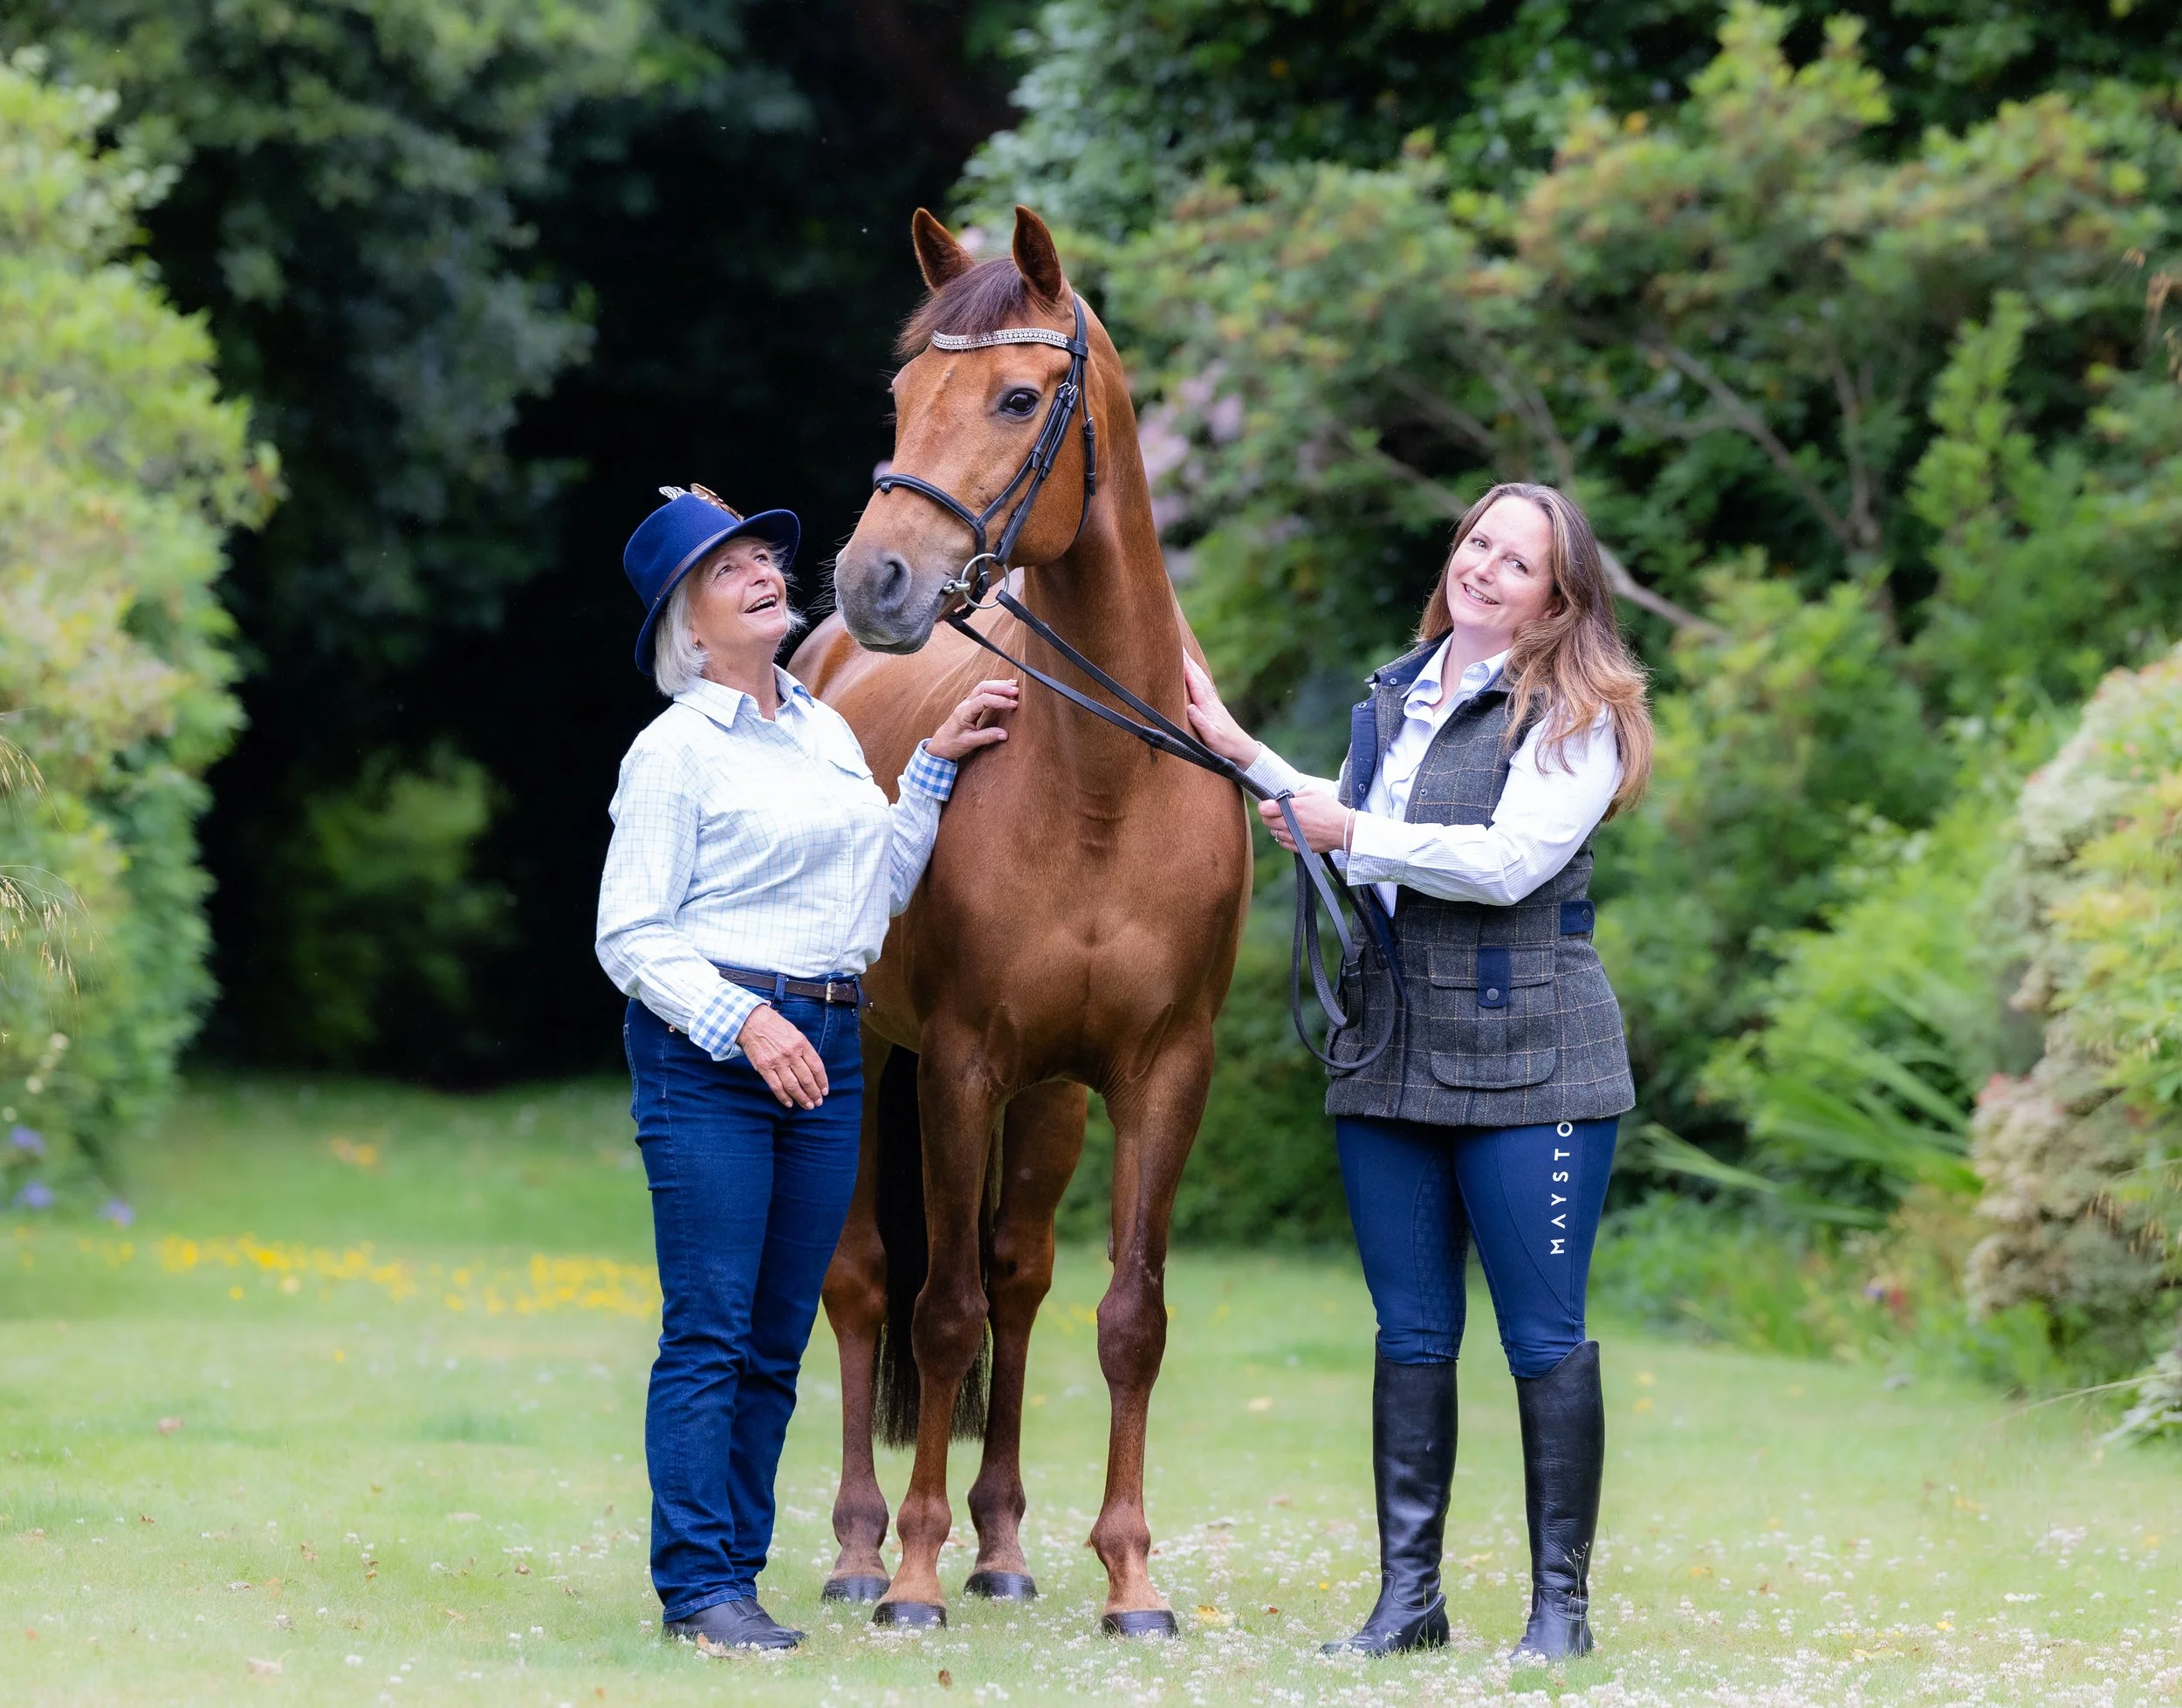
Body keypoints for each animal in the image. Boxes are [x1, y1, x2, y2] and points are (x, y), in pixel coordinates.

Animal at [787, 205, 1252, 1635]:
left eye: (1014, 396)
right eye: (901, 396)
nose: (874, 577)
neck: (1101, 785)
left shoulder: (1160, 1073)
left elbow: (1125, 1316)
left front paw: (1131, 1577)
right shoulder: (958, 1066)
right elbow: (936, 1315)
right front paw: (910, 1575)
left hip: (1048, 1099)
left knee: (1019, 1277)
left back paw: (1000, 1548)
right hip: (868, 1057)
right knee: (867, 1280)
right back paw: (859, 1550)